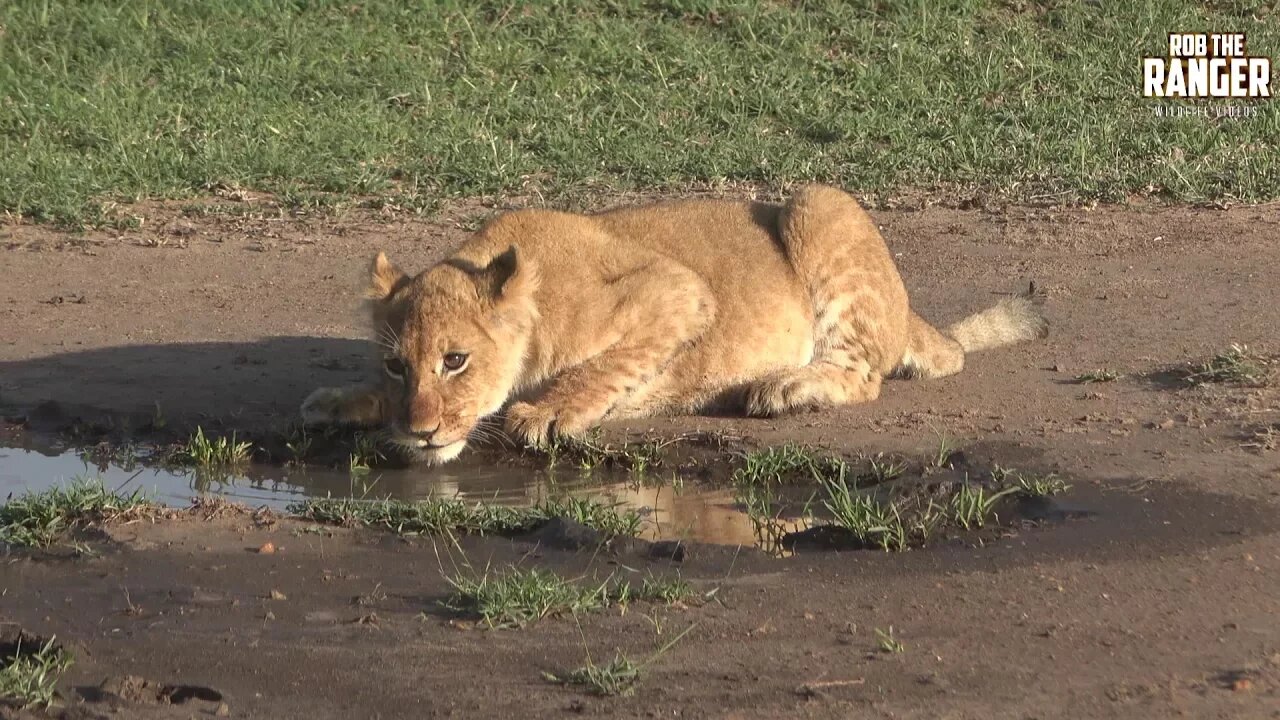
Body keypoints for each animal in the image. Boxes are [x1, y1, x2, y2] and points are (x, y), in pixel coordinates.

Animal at [301, 184, 1047, 464]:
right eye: (397, 365)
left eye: (454, 360)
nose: (421, 432)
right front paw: (344, 401)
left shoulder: (676, 291)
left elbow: (605, 365)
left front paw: (546, 411)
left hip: (819, 201)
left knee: (864, 373)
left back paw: (786, 386)